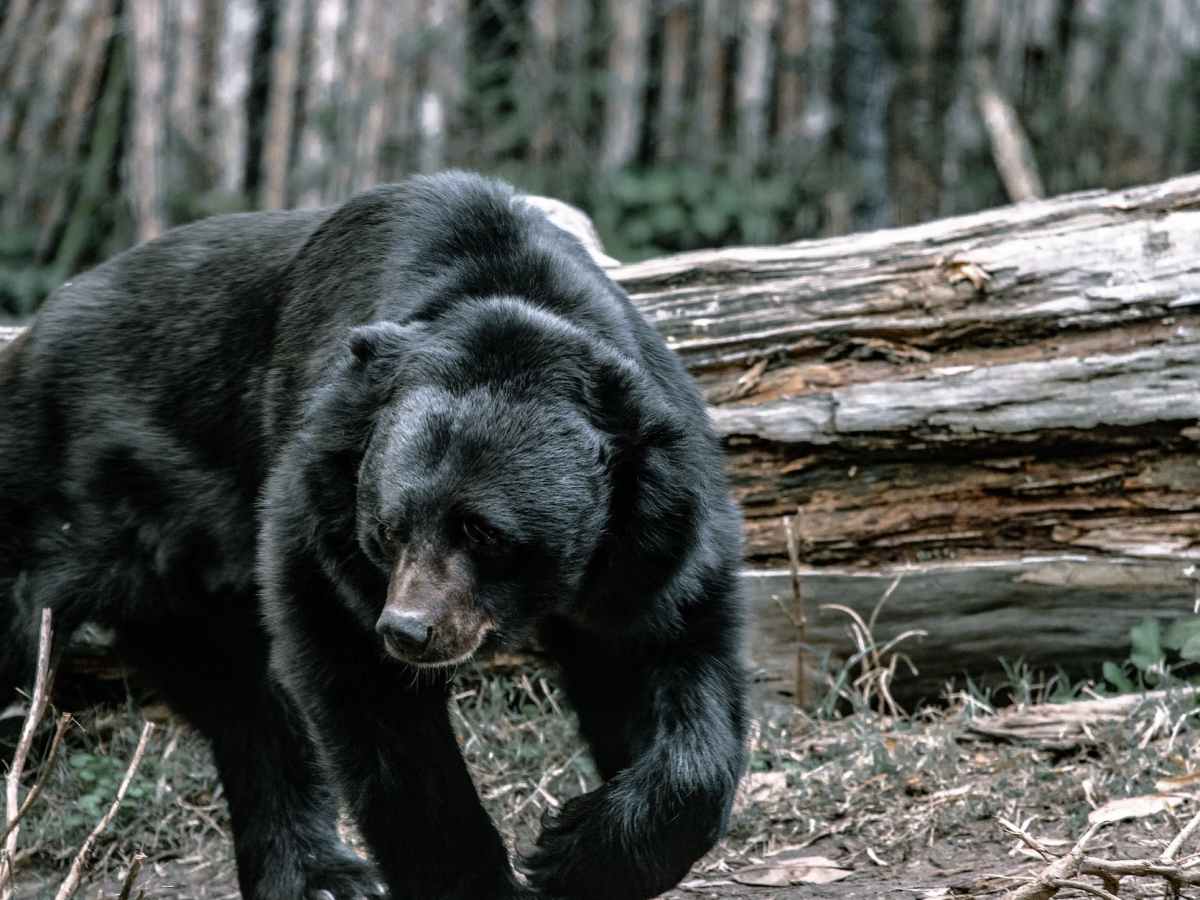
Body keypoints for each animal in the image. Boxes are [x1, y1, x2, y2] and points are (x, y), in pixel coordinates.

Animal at [0, 172, 749, 900]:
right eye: (388, 530)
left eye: (486, 533)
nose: (409, 631)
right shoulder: (320, 504)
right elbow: (371, 703)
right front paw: (484, 878)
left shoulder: (651, 533)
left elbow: (669, 656)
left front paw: (576, 850)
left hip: (179, 583)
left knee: (241, 701)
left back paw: (318, 875)